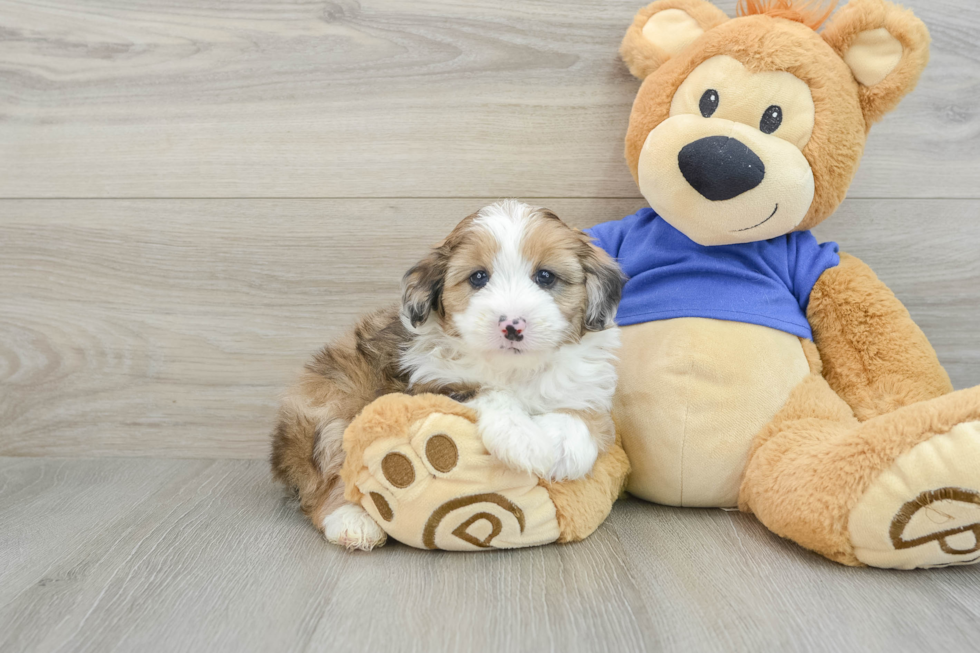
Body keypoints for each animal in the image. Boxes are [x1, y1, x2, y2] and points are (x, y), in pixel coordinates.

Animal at [270, 200, 620, 552]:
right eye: (478, 277)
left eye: (545, 276)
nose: (512, 325)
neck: (513, 368)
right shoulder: (430, 383)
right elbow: (485, 391)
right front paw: (523, 439)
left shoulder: (587, 381)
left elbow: (587, 415)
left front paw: (564, 444)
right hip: (330, 407)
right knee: (326, 477)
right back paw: (351, 520)